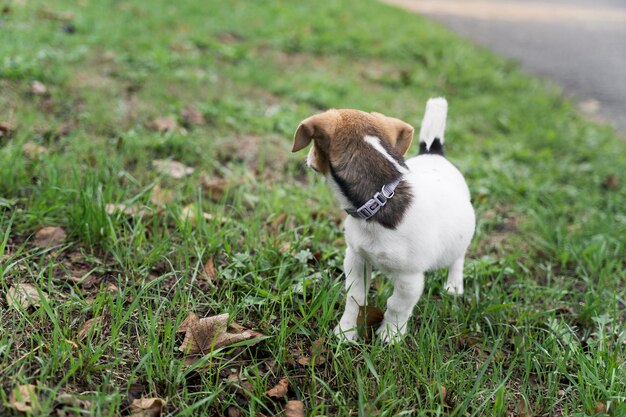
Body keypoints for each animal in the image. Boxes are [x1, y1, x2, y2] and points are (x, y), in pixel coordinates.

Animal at [292, 97, 472, 342]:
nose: (308, 158)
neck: (381, 197)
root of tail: (434, 152)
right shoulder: (356, 258)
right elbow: (355, 297)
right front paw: (345, 332)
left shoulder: (409, 279)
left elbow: (396, 306)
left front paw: (391, 335)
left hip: (459, 241)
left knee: (457, 260)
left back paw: (453, 286)